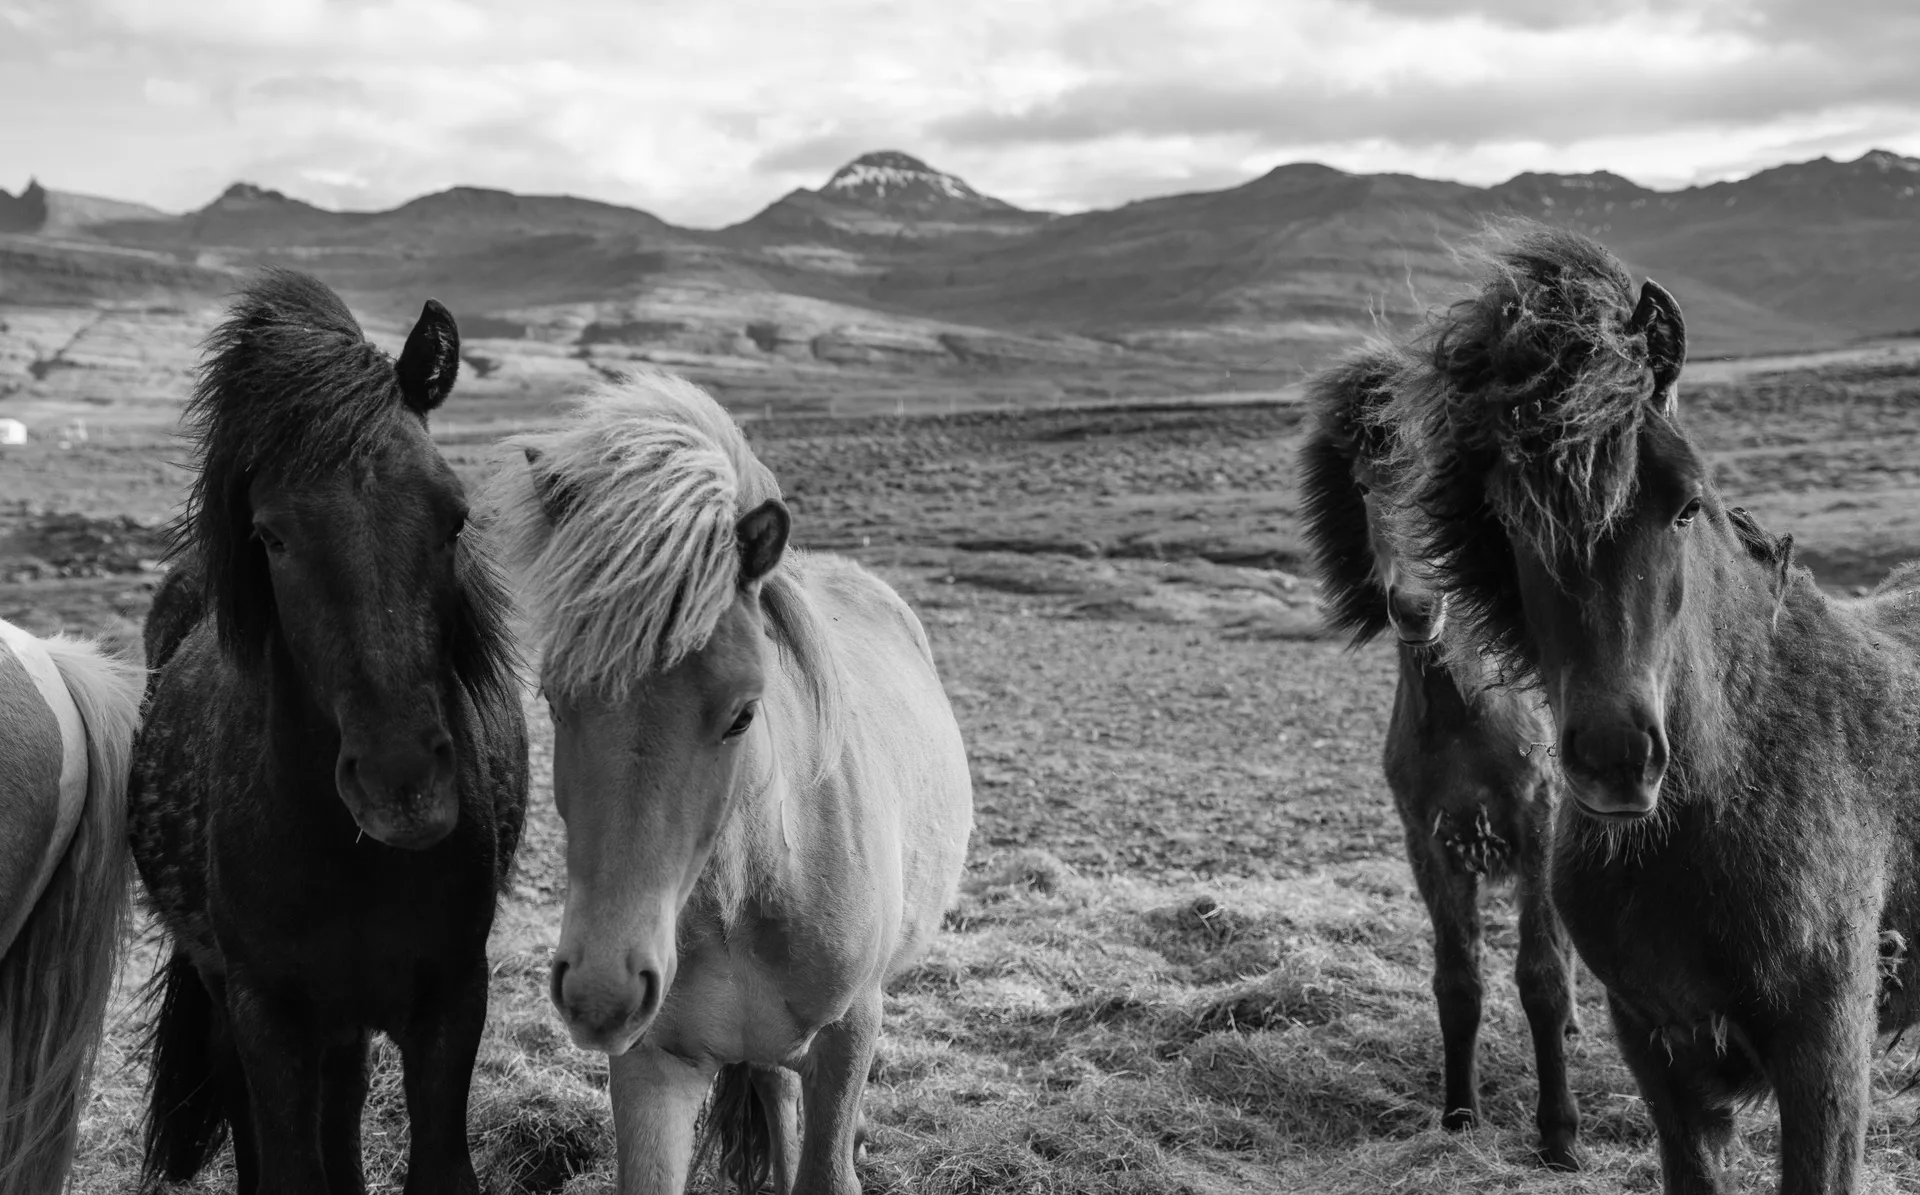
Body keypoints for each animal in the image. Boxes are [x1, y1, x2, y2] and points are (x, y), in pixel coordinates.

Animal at [128, 270, 528, 1195]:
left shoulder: (453, 995)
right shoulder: (267, 1011)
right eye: (271, 535)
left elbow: (437, 1165)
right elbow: (285, 1158)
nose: (402, 784)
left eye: (455, 514)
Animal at [487, 370, 974, 1195]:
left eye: (744, 711)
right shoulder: (652, 1067)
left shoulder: (849, 1034)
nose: (601, 990)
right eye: (552, 697)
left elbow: (825, 1169)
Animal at [1298, 347, 1580, 1169]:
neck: (1466, 713)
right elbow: (1458, 983)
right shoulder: (1429, 842)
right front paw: (1459, 1116)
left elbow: (1540, 976)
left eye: (1434, 482)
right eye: (1364, 484)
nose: (1417, 607)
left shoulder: (1538, 827)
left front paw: (1558, 1136)